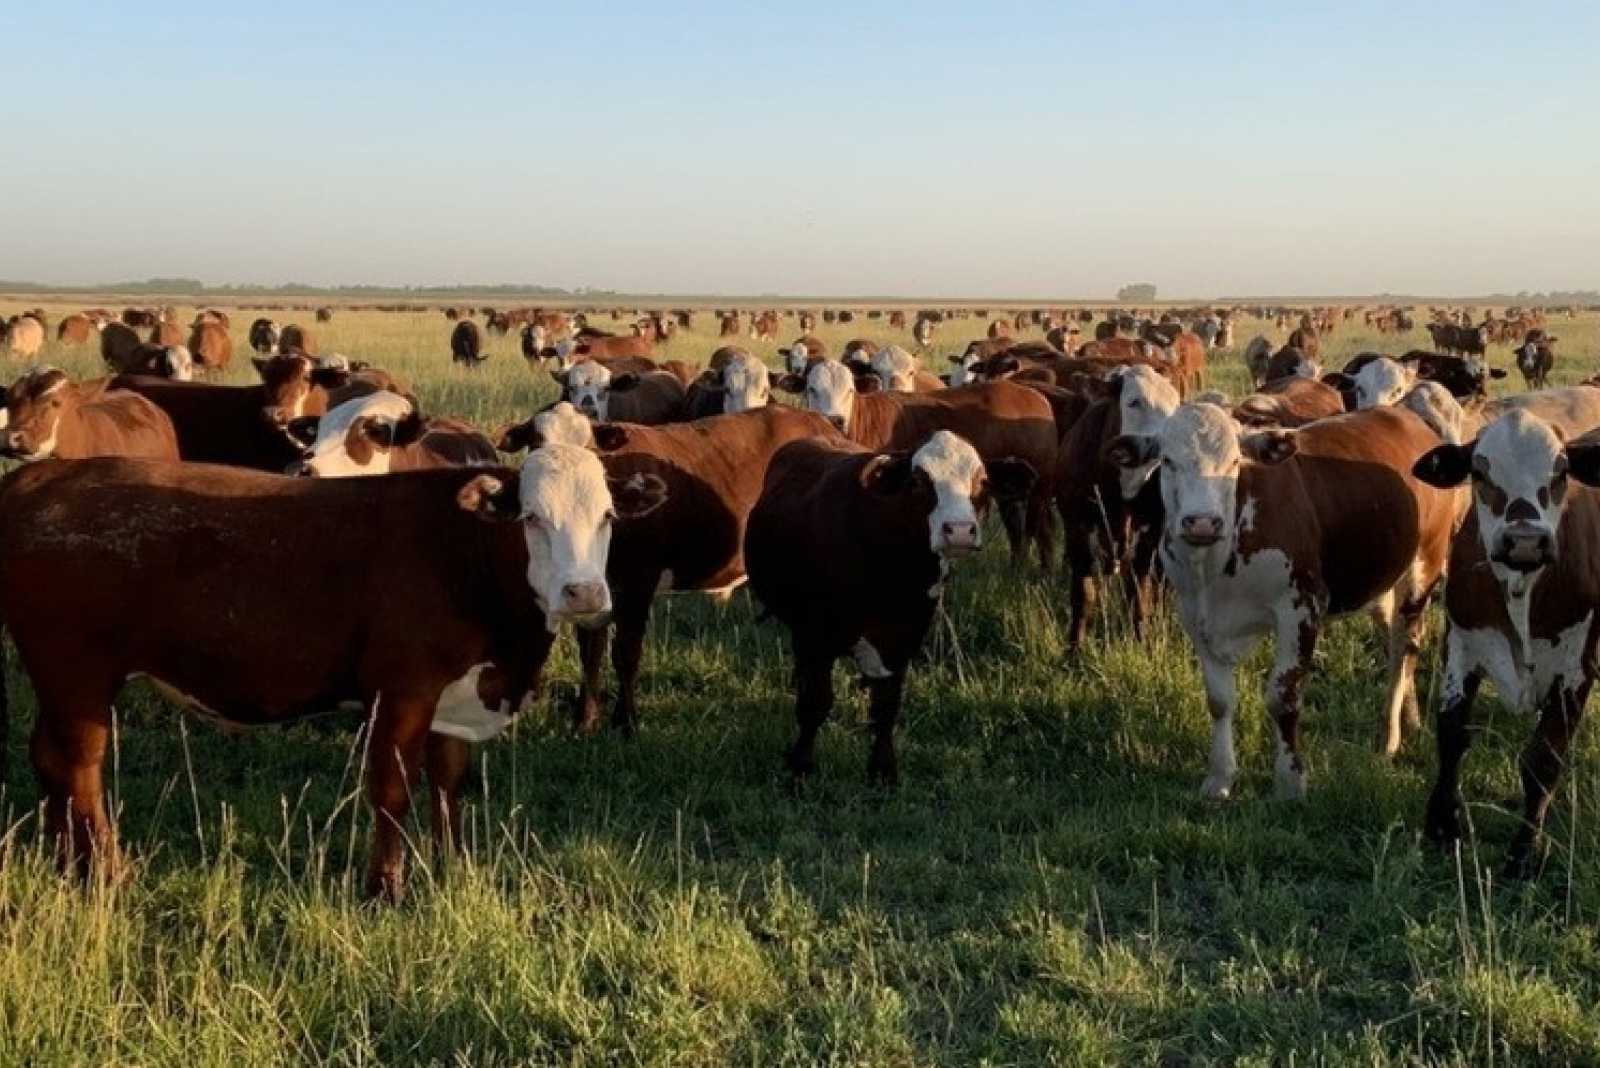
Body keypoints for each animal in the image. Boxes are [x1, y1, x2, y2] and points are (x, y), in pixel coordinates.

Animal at [0, 447, 665, 895]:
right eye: (531, 518)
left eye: (608, 517)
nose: (584, 593)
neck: (463, 554)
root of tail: (41, 477)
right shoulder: (402, 692)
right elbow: (393, 790)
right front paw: (385, 888)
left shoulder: (454, 695)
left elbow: (448, 785)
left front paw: (450, 867)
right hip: (78, 676)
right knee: (82, 769)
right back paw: (106, 871)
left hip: (56, 682)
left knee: (48, 759)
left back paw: (63, 862)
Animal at [742, 428, 1030, 783]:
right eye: (918, 482)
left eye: (983, 482)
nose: (960, 530)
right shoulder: (815, 634)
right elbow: (814, 704)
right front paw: (800, 768)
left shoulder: (904, 638)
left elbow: (885, 708)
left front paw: (882, 772)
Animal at [1113, 404, 1465, 796]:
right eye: (1168, 461)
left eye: (1234, 461)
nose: (1202, 523)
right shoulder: (1195, 615)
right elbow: (1219, 700)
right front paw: (1219, 778)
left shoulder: (1301, 607)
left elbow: (1283, 697)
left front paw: (1289, 782)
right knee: (1398, 646)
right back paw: (1411, 717)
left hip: (1423, 568)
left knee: (1404, 648)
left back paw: (1389, 737)